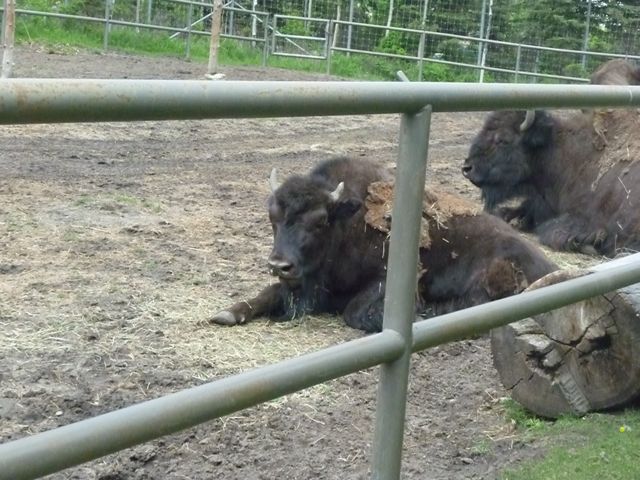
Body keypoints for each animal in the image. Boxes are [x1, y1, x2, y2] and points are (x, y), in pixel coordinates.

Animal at [211, 156, 555, 332]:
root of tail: (549, 265)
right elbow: (267, 294)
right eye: (273, 217)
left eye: (320, 221)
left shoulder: (386, 280)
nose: (279, 264)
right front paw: (228, 313)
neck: (347, 225)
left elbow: (354, 311)